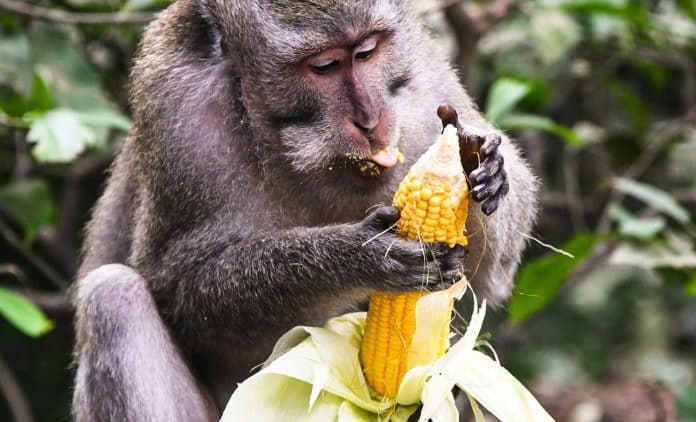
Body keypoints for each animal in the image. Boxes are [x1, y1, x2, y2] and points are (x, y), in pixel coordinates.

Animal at [71, 0, 538, 420]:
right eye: (325, 66)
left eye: (367, 52)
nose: (370, 119)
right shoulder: (175, 107)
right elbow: (182, 295)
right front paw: (357, 255)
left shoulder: (422, 78)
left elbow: (486, 281)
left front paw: (479, 160)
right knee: (113, 295)